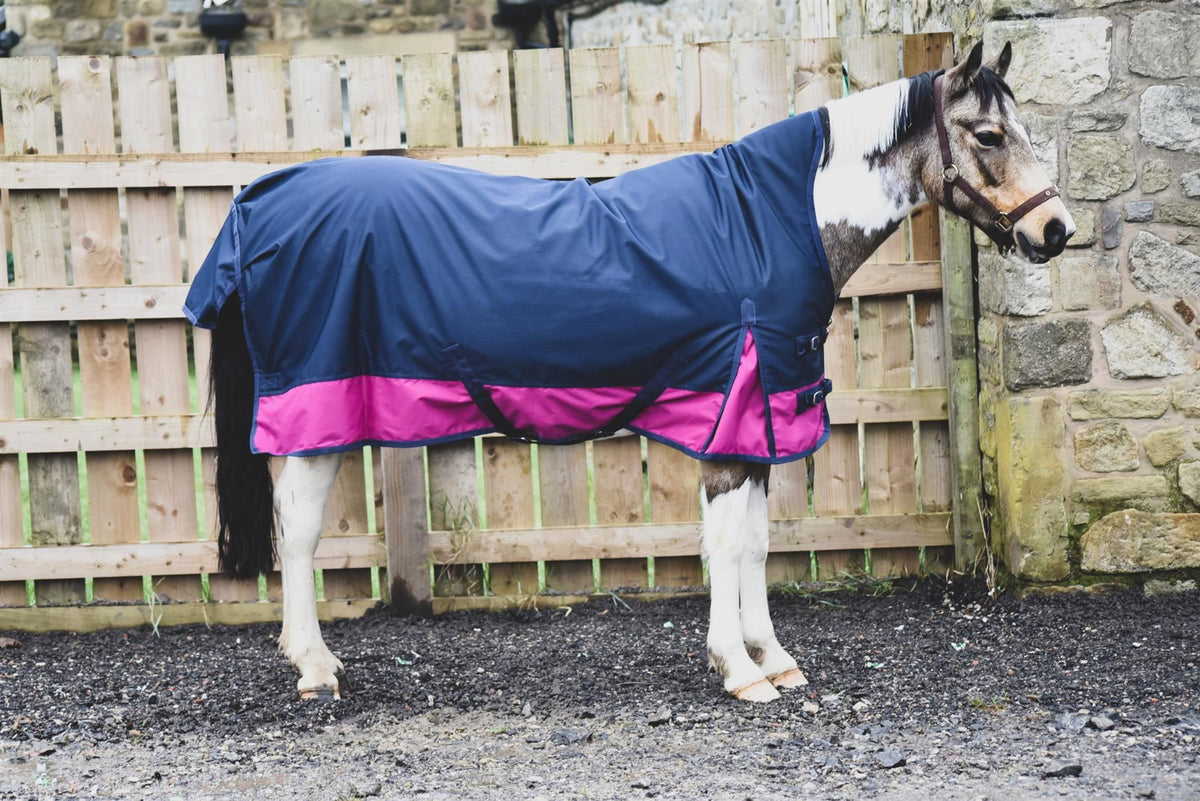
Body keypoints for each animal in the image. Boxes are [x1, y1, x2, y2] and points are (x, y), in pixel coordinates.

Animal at [186, 40, 1073, 703]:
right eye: (988, 136)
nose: (1057, 231)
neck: (766, 227)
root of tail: (261, 198)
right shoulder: (729, 418)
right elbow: (726, 543)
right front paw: (739, 670)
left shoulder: (761, 425)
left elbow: (756, 544)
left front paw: (774, 657)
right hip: (319, 407)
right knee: (298, 527)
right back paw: (315, 668)